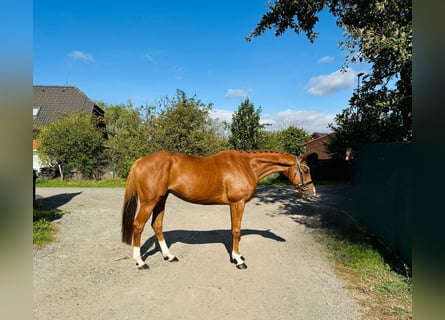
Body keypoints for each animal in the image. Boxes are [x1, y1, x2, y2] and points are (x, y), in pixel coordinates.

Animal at [121, 151, 316, 270]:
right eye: (306, 170)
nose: (313, 193)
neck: (247, 165)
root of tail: (140, 161)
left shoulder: (234, 205)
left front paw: (238, 256)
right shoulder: (237, 203)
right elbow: (236, 231)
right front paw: (238, 260)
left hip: (161, 199)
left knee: (157, 225)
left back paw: (169, 256)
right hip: (149, 202)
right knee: (138, 226)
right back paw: (140, 261)